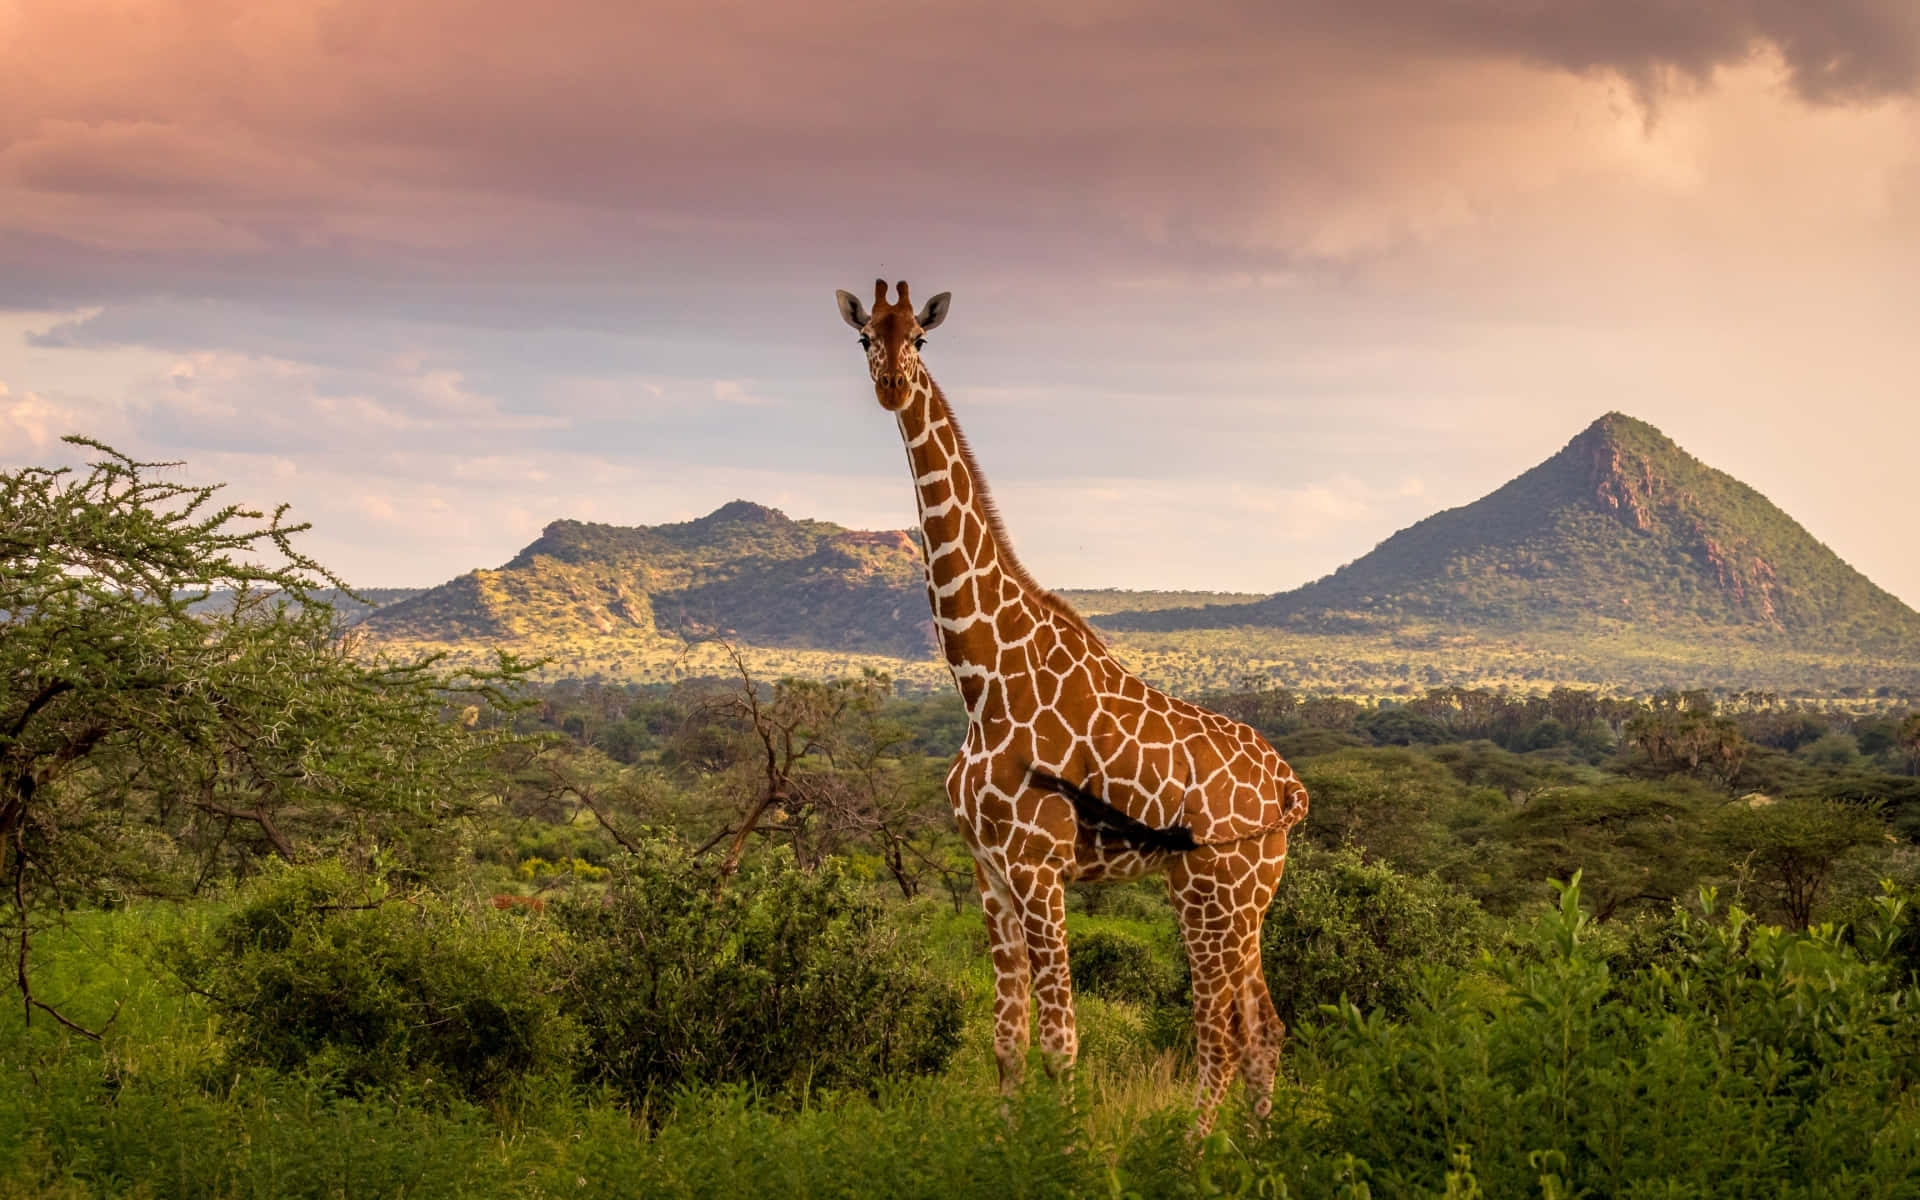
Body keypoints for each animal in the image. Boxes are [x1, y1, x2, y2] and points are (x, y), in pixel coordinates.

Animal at [833, 276, 1313, 1128]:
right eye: (865, 336)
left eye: (919, 336)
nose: (891, 383)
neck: (982, 680)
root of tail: (1288, 786)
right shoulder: (989, 873)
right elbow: (1006, 1041)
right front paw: (1007, 1140)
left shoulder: (1038, 867)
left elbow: (1061, 1044)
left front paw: (1065, 1146)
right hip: (1244, 897)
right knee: (1264, 1029)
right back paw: (1257, 1148)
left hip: (1215, 891)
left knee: (1221, 1034)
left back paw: (1194, 1150)